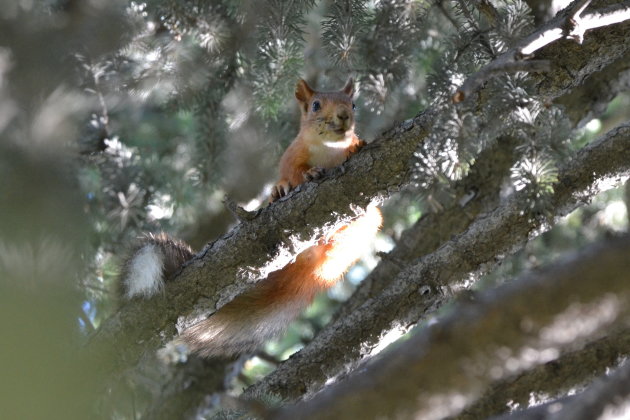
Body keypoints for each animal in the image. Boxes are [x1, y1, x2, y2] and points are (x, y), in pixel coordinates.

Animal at [121, 78, 382, 358]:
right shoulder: (291, 156)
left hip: (367, 225)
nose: (344, 116)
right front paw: (303, 176)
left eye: (353, 104)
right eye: (315, 105)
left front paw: (356, 145)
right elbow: (293, 172)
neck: (328, 151)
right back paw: (279, 195)